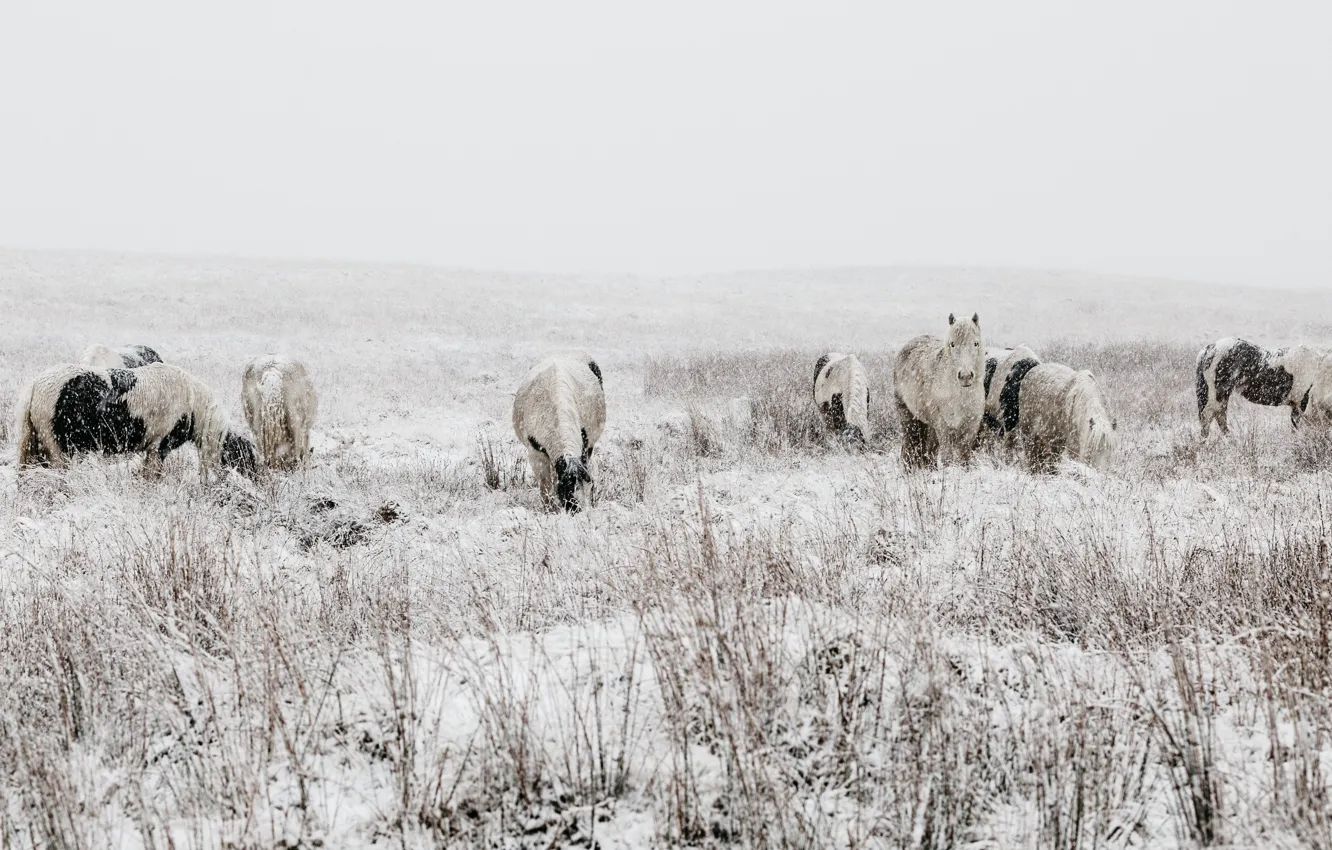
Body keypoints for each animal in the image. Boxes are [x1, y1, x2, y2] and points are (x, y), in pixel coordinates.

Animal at [892, 313, 985, 468]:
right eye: (952, 344)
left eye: (975, 343)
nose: (965, 376)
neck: (961, 397)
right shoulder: (944, 428)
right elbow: (947, 459)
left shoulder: (970, 429)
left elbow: (964, 460)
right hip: (908, 417)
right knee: (909, 447)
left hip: (930, 426)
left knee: (929, 452)